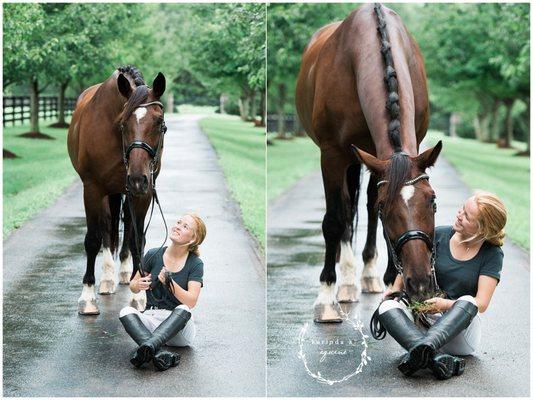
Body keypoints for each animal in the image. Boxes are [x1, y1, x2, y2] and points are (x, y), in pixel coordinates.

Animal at [67, 66, 165, 316]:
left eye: (159, 122)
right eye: (124, 123)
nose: (138, 177)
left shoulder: (143, 193)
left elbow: (138, 240)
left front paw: (138, 294)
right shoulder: (92, 189)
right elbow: (93, 239)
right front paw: (88, 297)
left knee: (127, 227)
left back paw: (123, 272)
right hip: (110, 192)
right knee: (107, 228)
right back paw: (107, 278)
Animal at [296, 3, 440, 322]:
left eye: (433, 202)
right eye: (389, 209)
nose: (420, 283)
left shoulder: (382, 156)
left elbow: (372, 213)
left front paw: (391, 284)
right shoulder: (332, 155)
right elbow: (335, 220)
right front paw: (326, 297)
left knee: (363, 206)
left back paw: (369, 276)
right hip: (350, 159)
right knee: (346, 210)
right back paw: (347, 281)